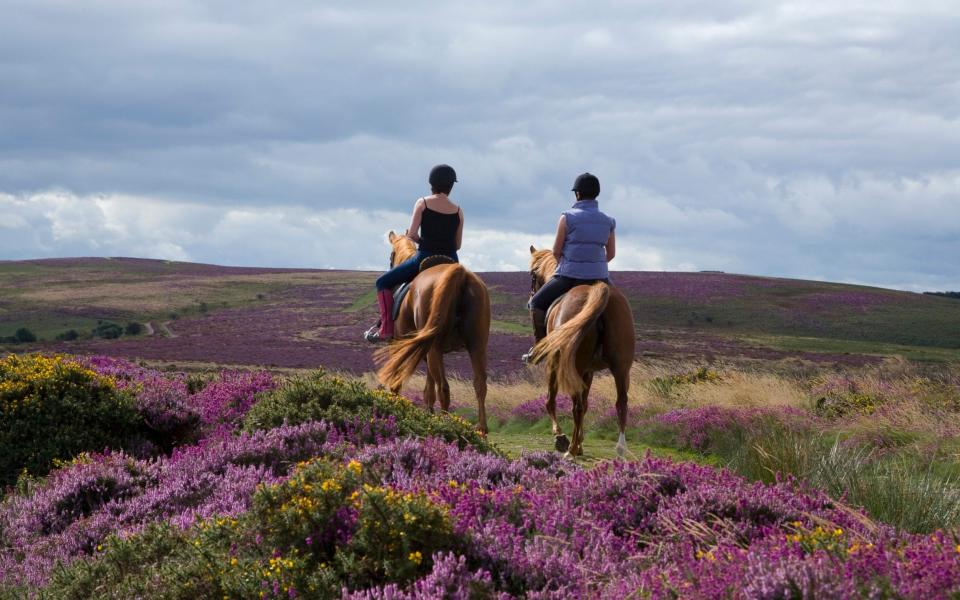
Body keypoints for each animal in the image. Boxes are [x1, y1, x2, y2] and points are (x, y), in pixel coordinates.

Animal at [376, 232, 496, 434]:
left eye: (390, 256)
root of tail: (460, 273)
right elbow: (428, 390)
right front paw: (428, 413)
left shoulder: (400, 348)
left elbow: (399, 381)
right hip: (476, 347)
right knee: (480, 384)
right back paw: (481, 429)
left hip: (434, 349)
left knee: (444, 388)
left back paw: (445, 424)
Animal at [524, 246, 636, 458]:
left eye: (532, 274)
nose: (531, 295)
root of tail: (596, 291)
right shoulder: (588, 371)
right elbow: (585, 405)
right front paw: (580, 441)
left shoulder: (554, 364)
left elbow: (551, 401)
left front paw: (561, 437)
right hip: (621, 367)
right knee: (621, 403)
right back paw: (620, 449)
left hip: (572, 365)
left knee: (575, 405)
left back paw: (571, 450)